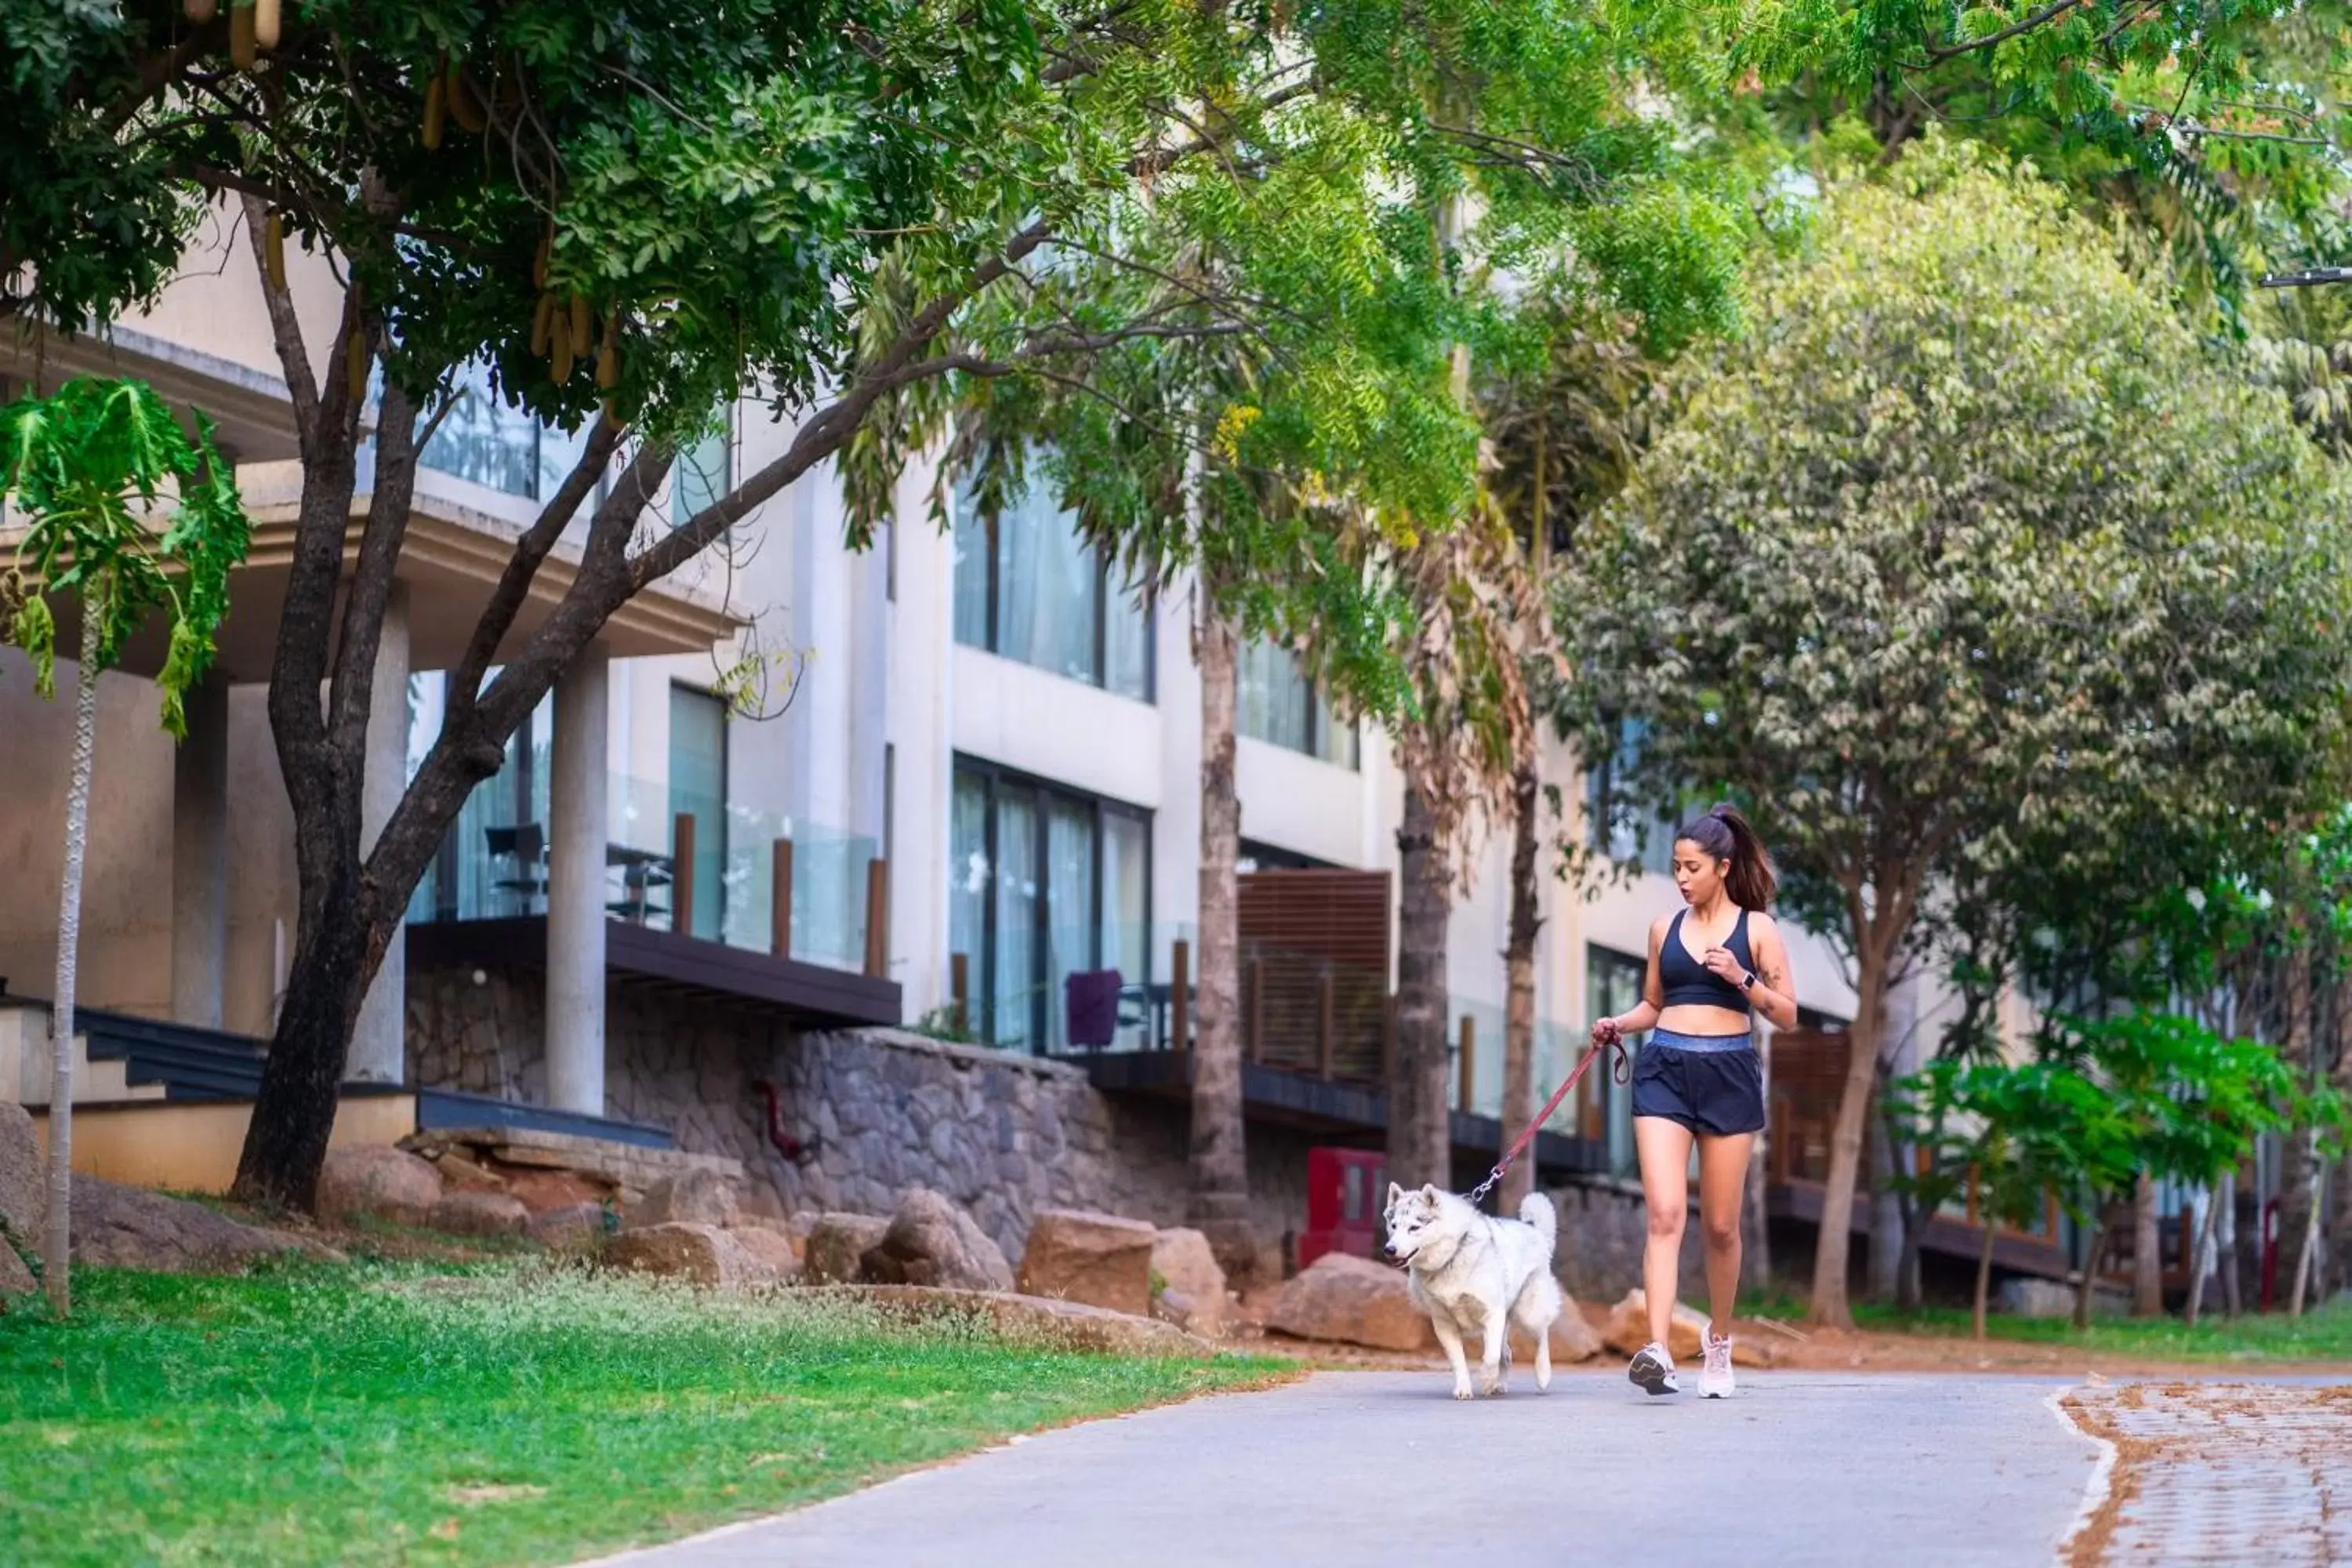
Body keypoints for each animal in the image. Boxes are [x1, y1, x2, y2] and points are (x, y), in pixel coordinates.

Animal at [1374, 1185, 1562, 1401]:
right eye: (1394, 1226)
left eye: (1414, 1228)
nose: (1389, 1249)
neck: (1451, 1257)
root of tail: (1534, 1229)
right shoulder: (1444, 1325)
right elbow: (1460, 1362)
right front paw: (1464, 1389)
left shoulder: (1493, 1314)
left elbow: (1490, 1357)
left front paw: (1487, 1380)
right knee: (1506, 1354)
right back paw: (1500, 1385)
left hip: (1530, 1313)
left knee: (1541, 1336)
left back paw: (1542, 1375)